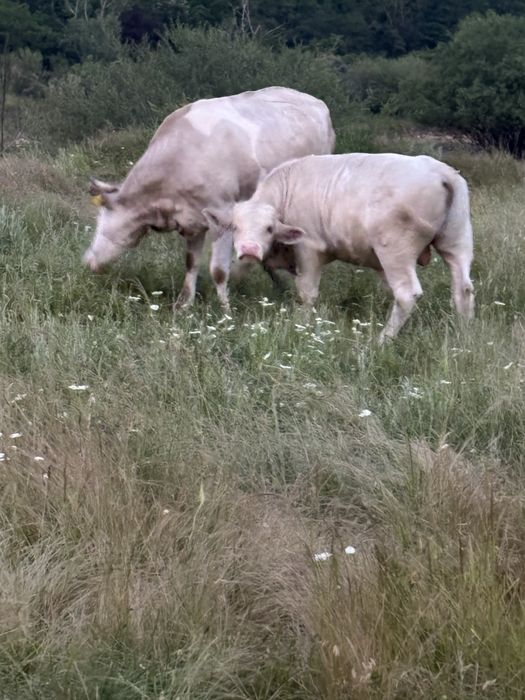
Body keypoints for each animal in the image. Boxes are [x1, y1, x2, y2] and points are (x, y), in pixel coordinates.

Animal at [83, 87, 335, 310]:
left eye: (100, 222)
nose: (88, 262)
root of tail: (315, 101)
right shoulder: (191, 221)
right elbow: (191, 263)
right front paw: (184, 305)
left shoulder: (223, 215)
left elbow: (219, 270)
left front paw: (225, 310)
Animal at [203, 153, 474, 342]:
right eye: (235, 227)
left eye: (269, 228)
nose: (249, 248)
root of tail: (441, 172)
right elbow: (238, 270)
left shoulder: (308, 249)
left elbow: (306, 293)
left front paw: (300, 325)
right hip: (457, 242)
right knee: (463, 289)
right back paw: (463, 334)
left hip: (395, 252)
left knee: (407, 294)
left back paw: (382, 340)